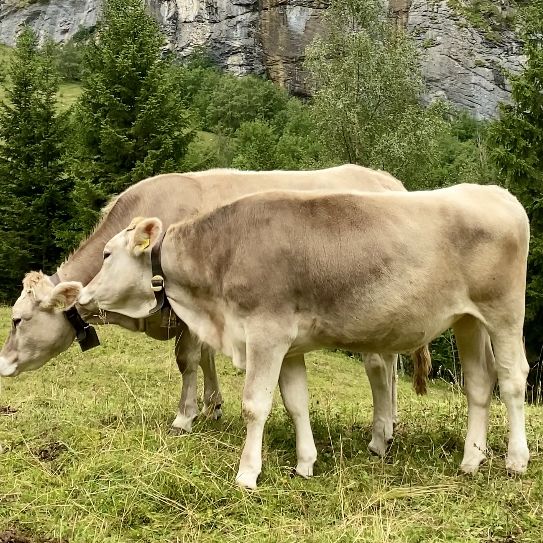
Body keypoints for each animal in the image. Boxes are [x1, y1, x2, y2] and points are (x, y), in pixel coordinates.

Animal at [0, 165, 430, 460]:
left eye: (17, 319)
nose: (2, 365)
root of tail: (387, 180)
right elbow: (206, 356)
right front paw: (212, 406)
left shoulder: (184, 306)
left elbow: (187, 360)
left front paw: (184, 417)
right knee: (390, 367)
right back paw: (390, 424)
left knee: (380, 367)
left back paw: (381, 432)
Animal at [79, 183, 532, 488]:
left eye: (107, 254)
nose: (81, 296)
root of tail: (495, 192)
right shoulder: (289, 344)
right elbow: (296, 403)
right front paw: (305, 464)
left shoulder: (266, 333)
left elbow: (255, 405)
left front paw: (247, 473)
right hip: (467, 319)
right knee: (479, 383)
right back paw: (470, 461)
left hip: (504, 312)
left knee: (512, 379)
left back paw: (515, 460)